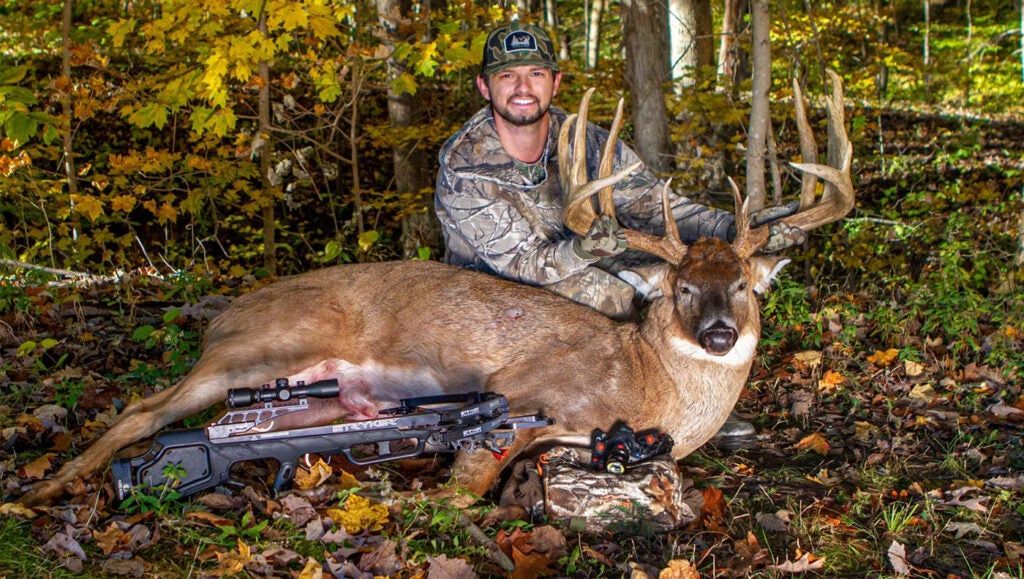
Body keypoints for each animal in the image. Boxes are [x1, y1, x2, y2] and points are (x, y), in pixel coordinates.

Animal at [20, 72, 853, 508]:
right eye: (680, 287)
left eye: (742, 283)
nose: (718, 332)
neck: (647, 384)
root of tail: (224, 313)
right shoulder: (522, 389)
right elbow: (465, 485)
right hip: (258, 350)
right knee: (142, 407)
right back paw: (38, 491)